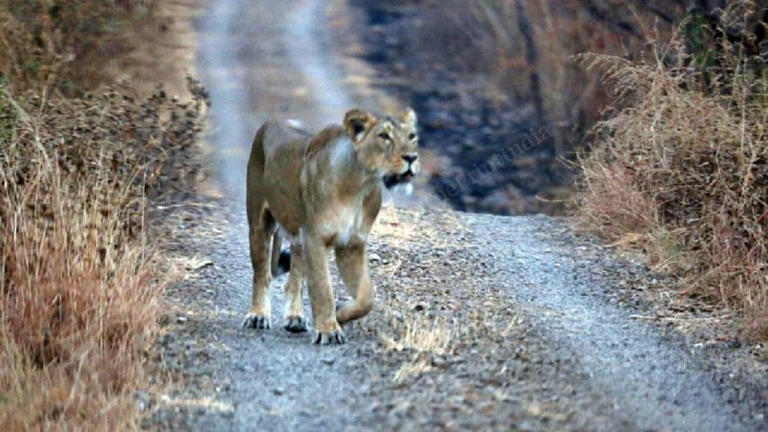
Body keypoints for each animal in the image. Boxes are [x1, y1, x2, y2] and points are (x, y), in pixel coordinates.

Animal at [242, 107, 419, 344]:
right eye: (384, 136)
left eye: (412, 136)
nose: (411, 157)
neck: (361, 186)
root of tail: (274, 120)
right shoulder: (315, 238)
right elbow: (323, 287)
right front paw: (328, 330)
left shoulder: (351, 244)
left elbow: (366, 297)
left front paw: (341, 314)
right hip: (259, 223)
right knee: (262, 274)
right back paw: (258, 316)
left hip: (299, 236)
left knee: (294, 278)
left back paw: (295, 318)